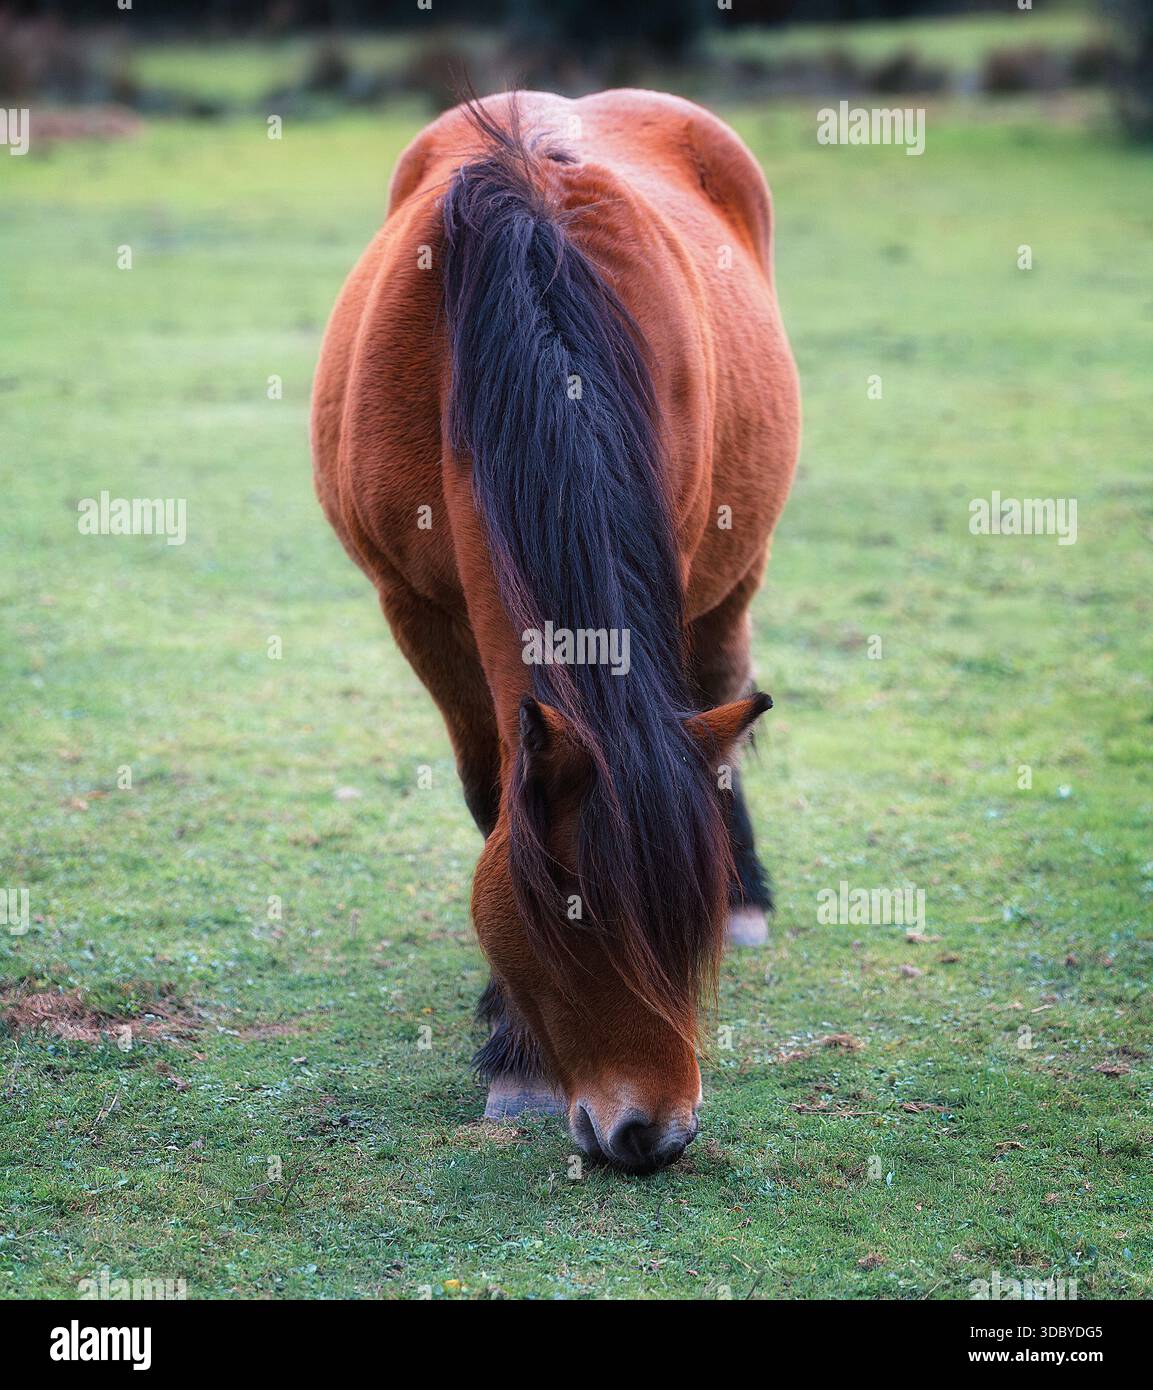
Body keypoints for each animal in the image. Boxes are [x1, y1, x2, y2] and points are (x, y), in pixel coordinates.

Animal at [312, 90, 800, 1173]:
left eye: (684, 923)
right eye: (570, 922)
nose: (653, 1133)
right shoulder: (414, 610)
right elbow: (491, 792)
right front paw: (518, 1052)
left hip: (735, 567)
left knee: (721, 689)